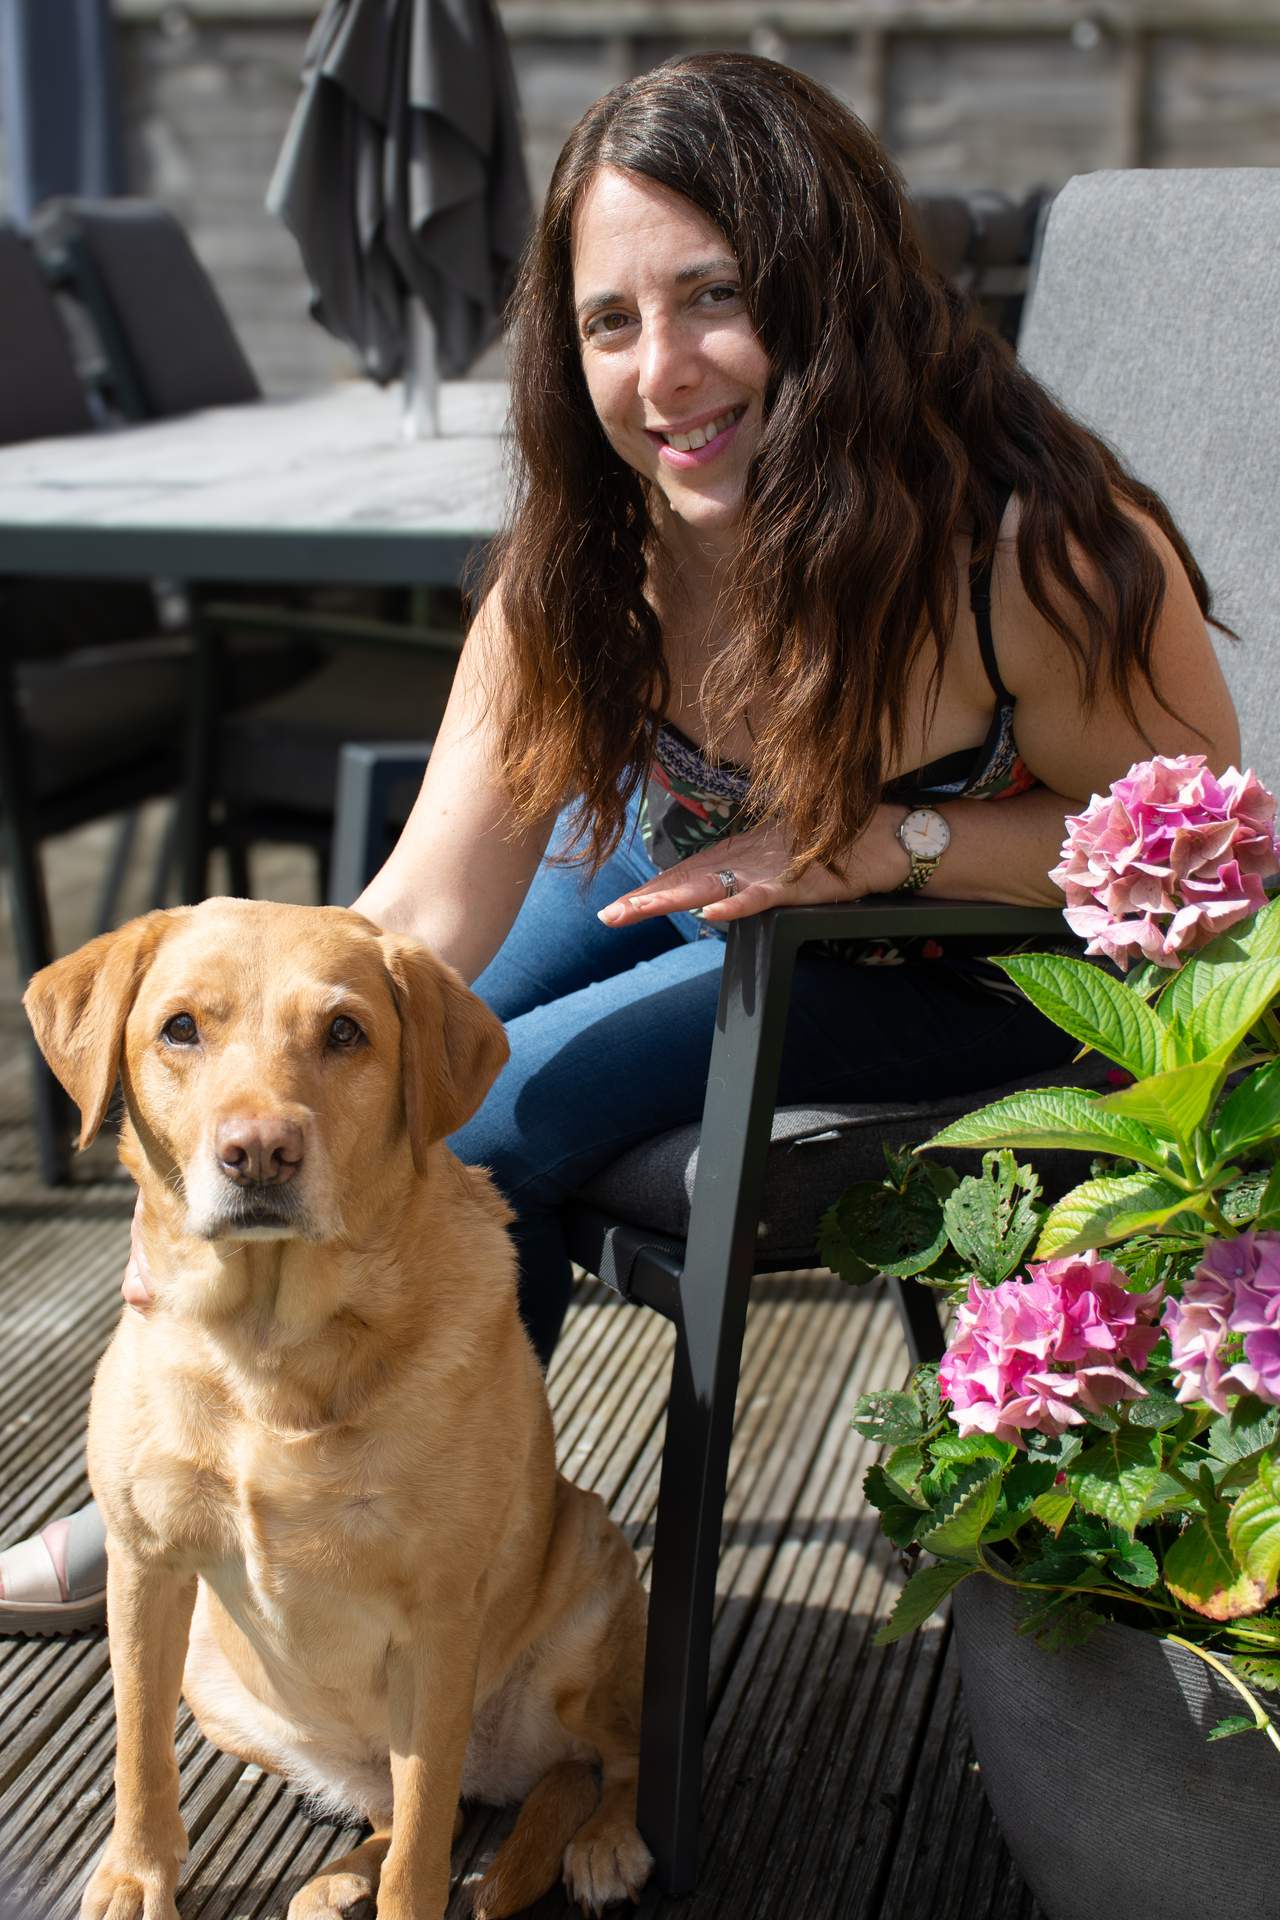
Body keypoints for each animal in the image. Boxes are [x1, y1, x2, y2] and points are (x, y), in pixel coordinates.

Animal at [25, 898, 656, 1920]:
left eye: (345, 1033)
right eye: (180, 1028)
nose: (259, 1153)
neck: (270, 1352)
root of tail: (505, 1769)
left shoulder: (438, 1619)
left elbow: (426, 1849)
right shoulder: (146, 1567)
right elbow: (139, 1754)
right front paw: (134, 1877)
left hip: (594, 1589)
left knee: (604, 1759)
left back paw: (604, 1844)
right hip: (214, 1676)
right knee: (396, 1808)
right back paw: (338, 1878)